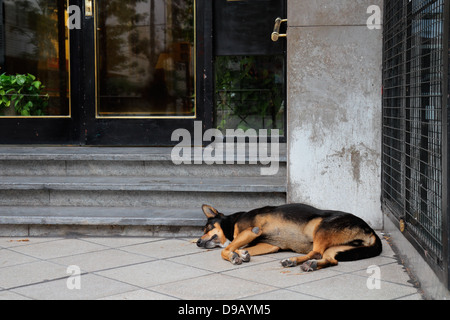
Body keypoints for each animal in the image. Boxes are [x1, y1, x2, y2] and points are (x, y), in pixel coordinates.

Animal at [195, 204, 382, 272]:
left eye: (207, 228)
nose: (197, 242)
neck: (232, 222)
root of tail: (370, 229)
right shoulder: (268, 245)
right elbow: (237, 248)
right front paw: (241, 254)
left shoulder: (251, 231)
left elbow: (226, 249)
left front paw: (234, 256)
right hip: (336, 248)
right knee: (330, 259)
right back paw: (311, 265)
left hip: (322, 227)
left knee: (316, 252)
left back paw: (292, 260)